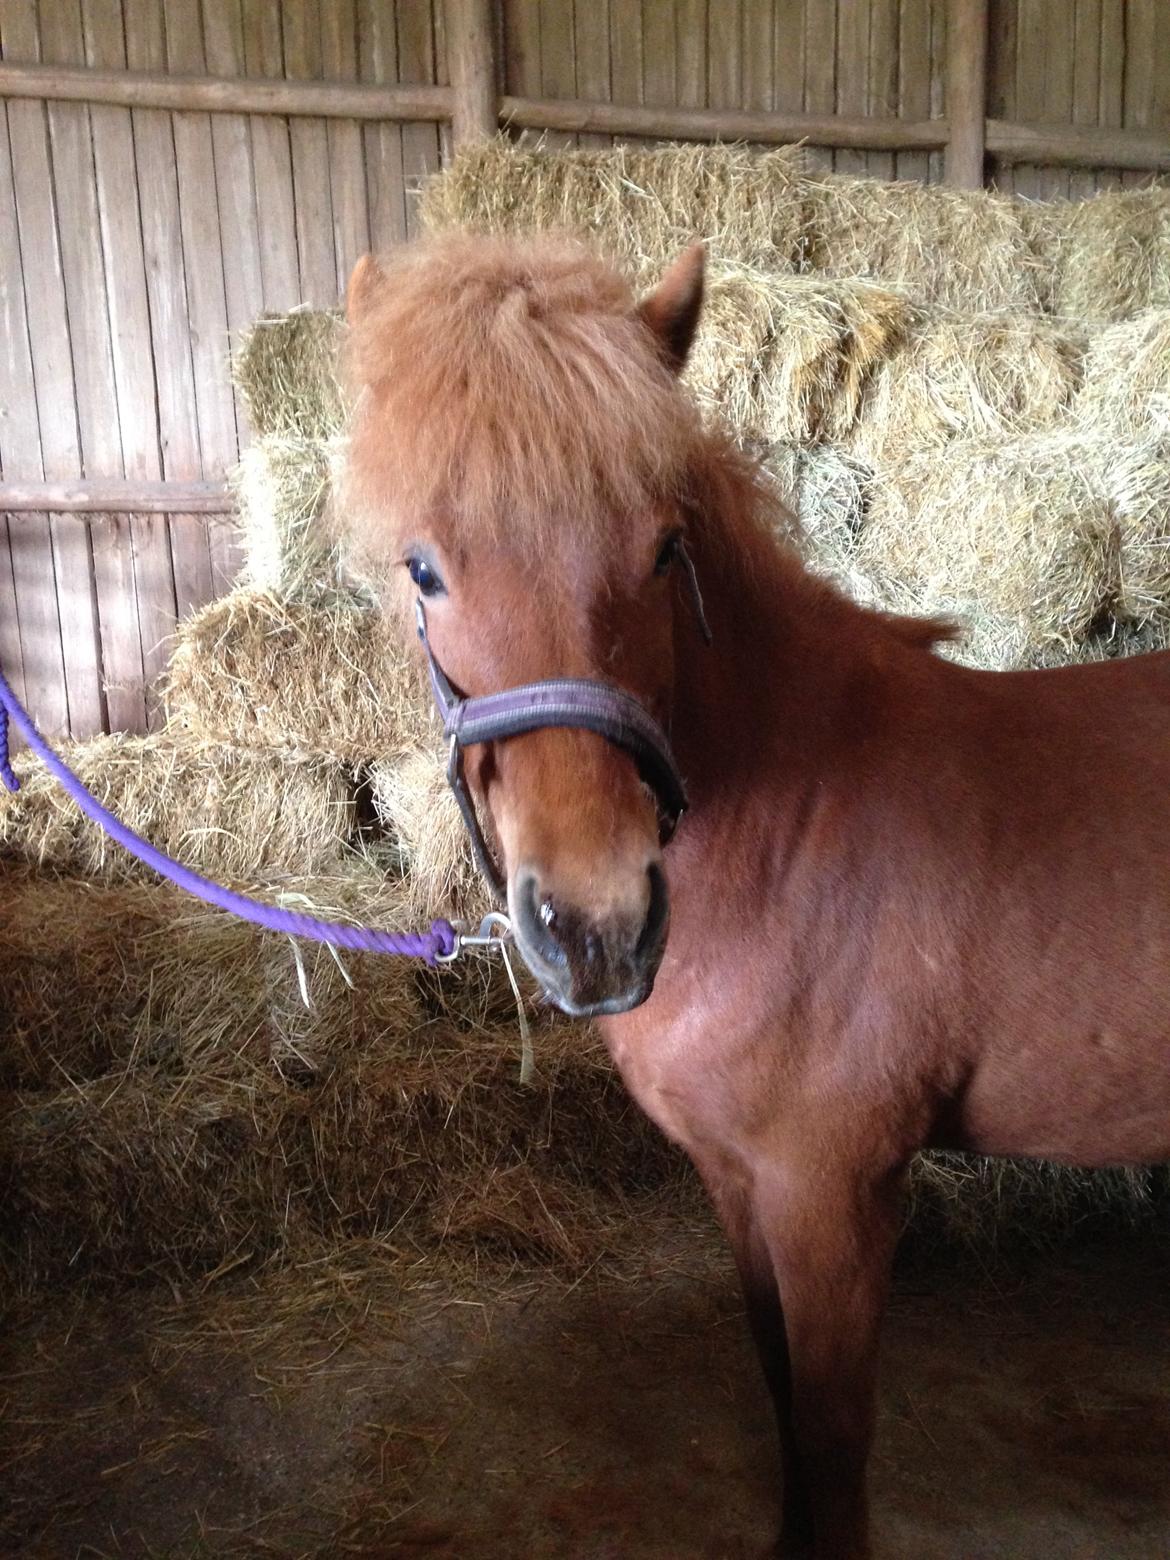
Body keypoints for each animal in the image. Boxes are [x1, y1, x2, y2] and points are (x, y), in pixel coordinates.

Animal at [343, 233, 1170, 1560]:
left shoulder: (835, 1194)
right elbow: (781, 1395)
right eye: (425, 570)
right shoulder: (740, 1185)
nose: (598, 929)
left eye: (662, 549)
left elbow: (831, 1442)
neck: (795, 835)